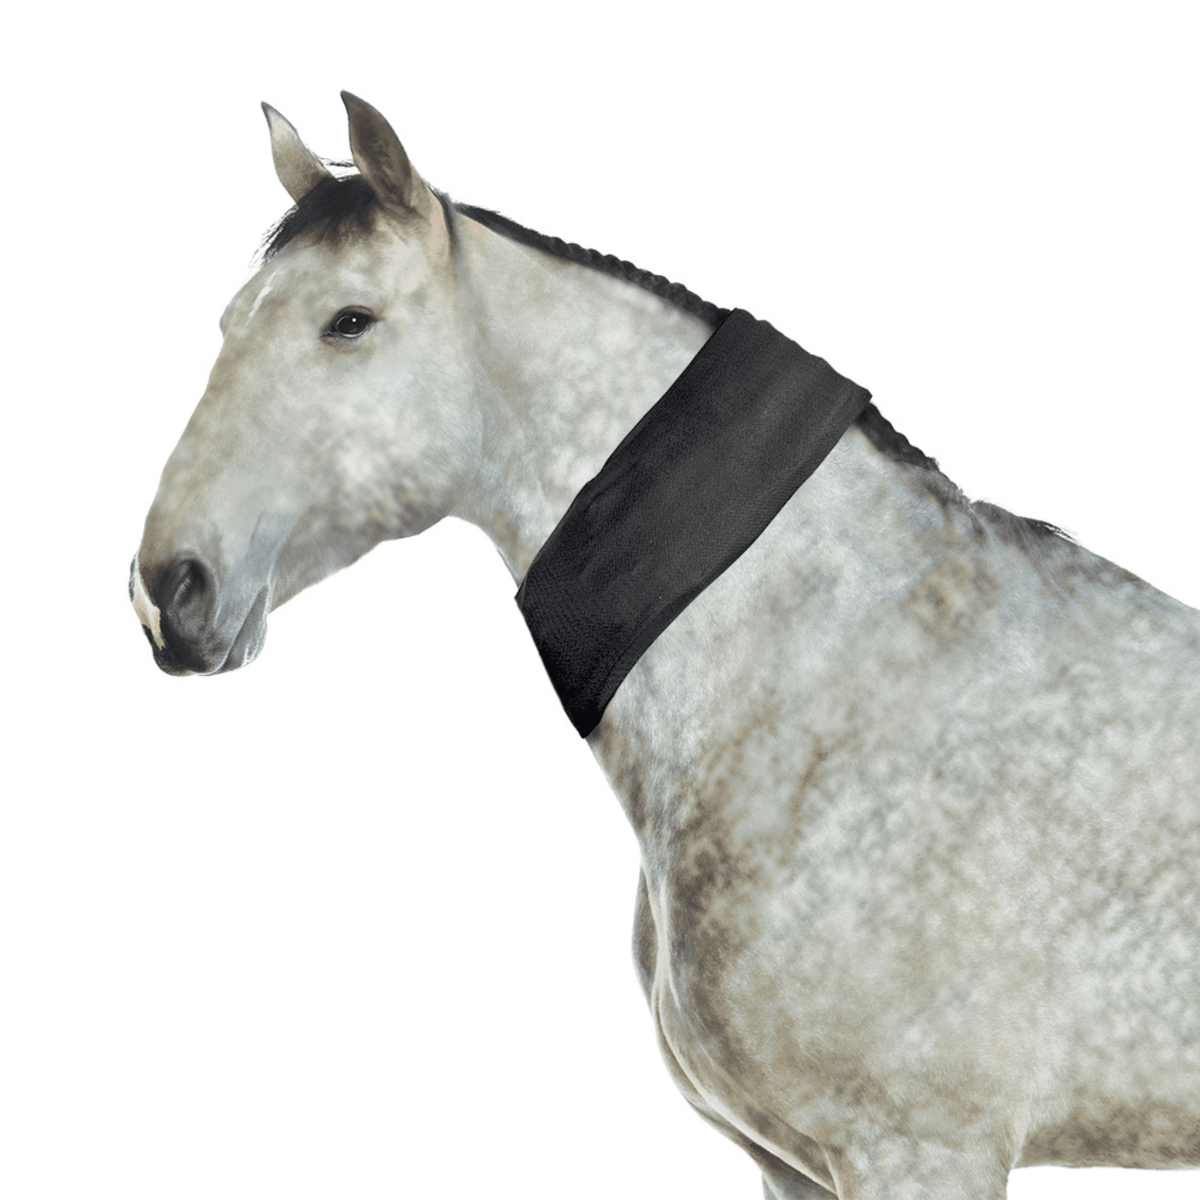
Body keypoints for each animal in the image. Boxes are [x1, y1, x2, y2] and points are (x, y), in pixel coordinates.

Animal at [131, 93, 1200, 1199]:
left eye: (349, 320)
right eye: (228, 322)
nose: (168, 590)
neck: (840, 672)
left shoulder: (920, 1154)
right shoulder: (795, 1166)